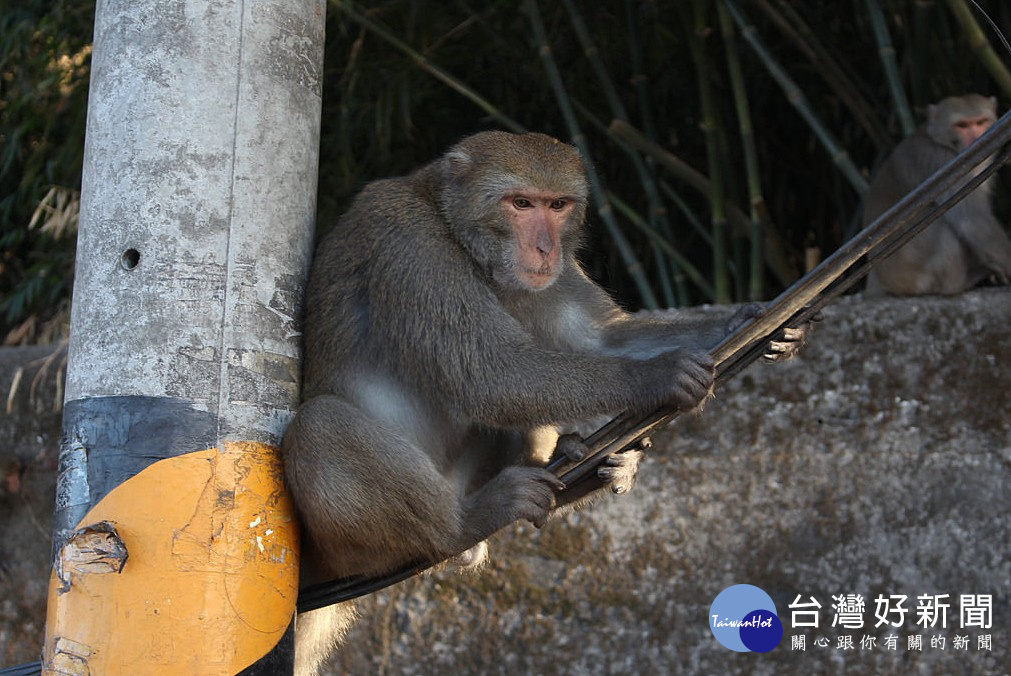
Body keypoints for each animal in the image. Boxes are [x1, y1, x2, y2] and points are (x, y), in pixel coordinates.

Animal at [281, 129, 808, 670]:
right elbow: (489, 373)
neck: (458, 235)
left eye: (557, 205)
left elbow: (599, 341)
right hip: (348, 546)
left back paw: (582, 464)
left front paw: (747, 322)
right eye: (520, 204)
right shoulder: (409, 244)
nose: (544, 247)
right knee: (321, 424)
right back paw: (467, 524)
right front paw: (656, 376)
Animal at [861, 93, 1011, 293]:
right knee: (941, 222)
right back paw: (960, 283)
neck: (940, 141)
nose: (976, 137)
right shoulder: (942, 161)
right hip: (912, 275)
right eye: (962, 125)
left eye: (981, 122)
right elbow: (973, 221)